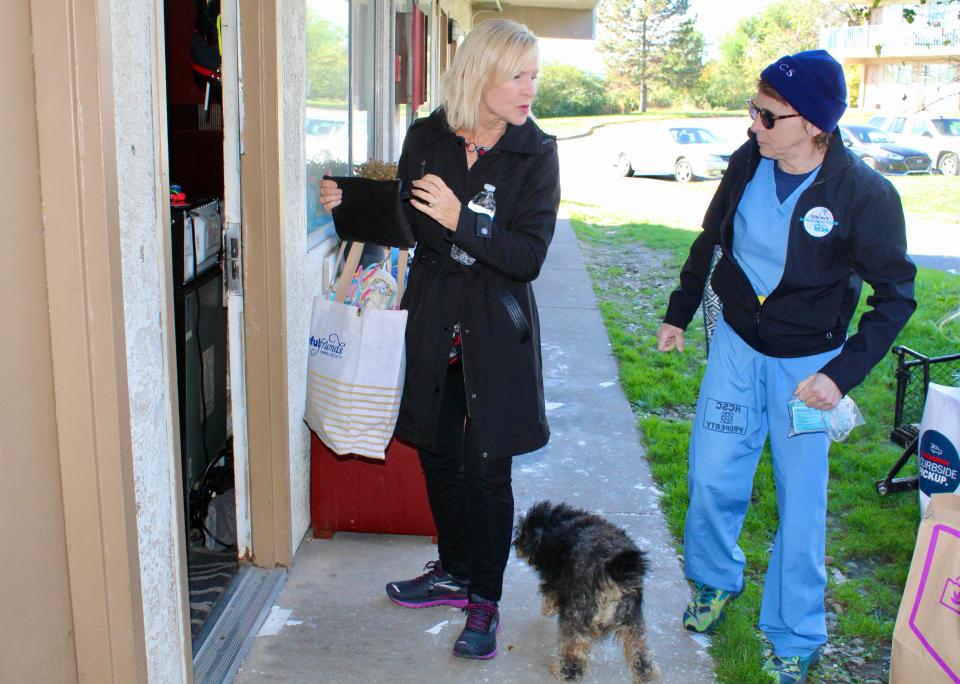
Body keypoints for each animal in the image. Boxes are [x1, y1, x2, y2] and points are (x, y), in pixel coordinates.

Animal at [510, 500, 660, 680]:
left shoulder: (555, 577)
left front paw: (547, 609)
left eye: (522, 531)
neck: (557, 521)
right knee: (640, 654)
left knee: (574, 659)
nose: (515, 544)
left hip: (575, 618)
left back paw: (563, 672)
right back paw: (646, 674)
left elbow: (549, 593)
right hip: (632, 619)